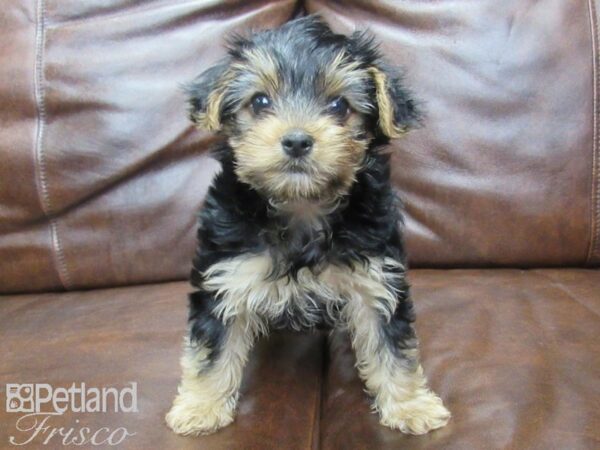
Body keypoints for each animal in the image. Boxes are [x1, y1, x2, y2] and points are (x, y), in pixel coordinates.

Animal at [165, 16, 450, 436]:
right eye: (260, 102)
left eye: (339, 105)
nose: (297, 141)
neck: (301, 205)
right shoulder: (225, 276)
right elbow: (212, 349)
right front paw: (200, 407)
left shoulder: (375, 278)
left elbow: (391, 345)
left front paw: (410, 405)